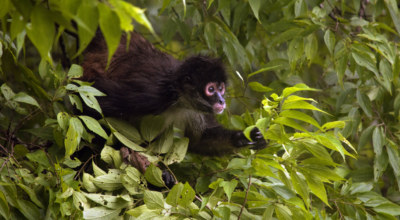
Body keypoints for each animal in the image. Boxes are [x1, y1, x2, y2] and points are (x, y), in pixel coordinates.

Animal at [80, 31, 266, 183]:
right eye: (211, 89)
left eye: (221, 88)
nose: (221, 101)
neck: (179, 99)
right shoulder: (152, 94)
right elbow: (93, 105)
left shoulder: (193, 111)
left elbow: (200, 139)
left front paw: (244, 137)